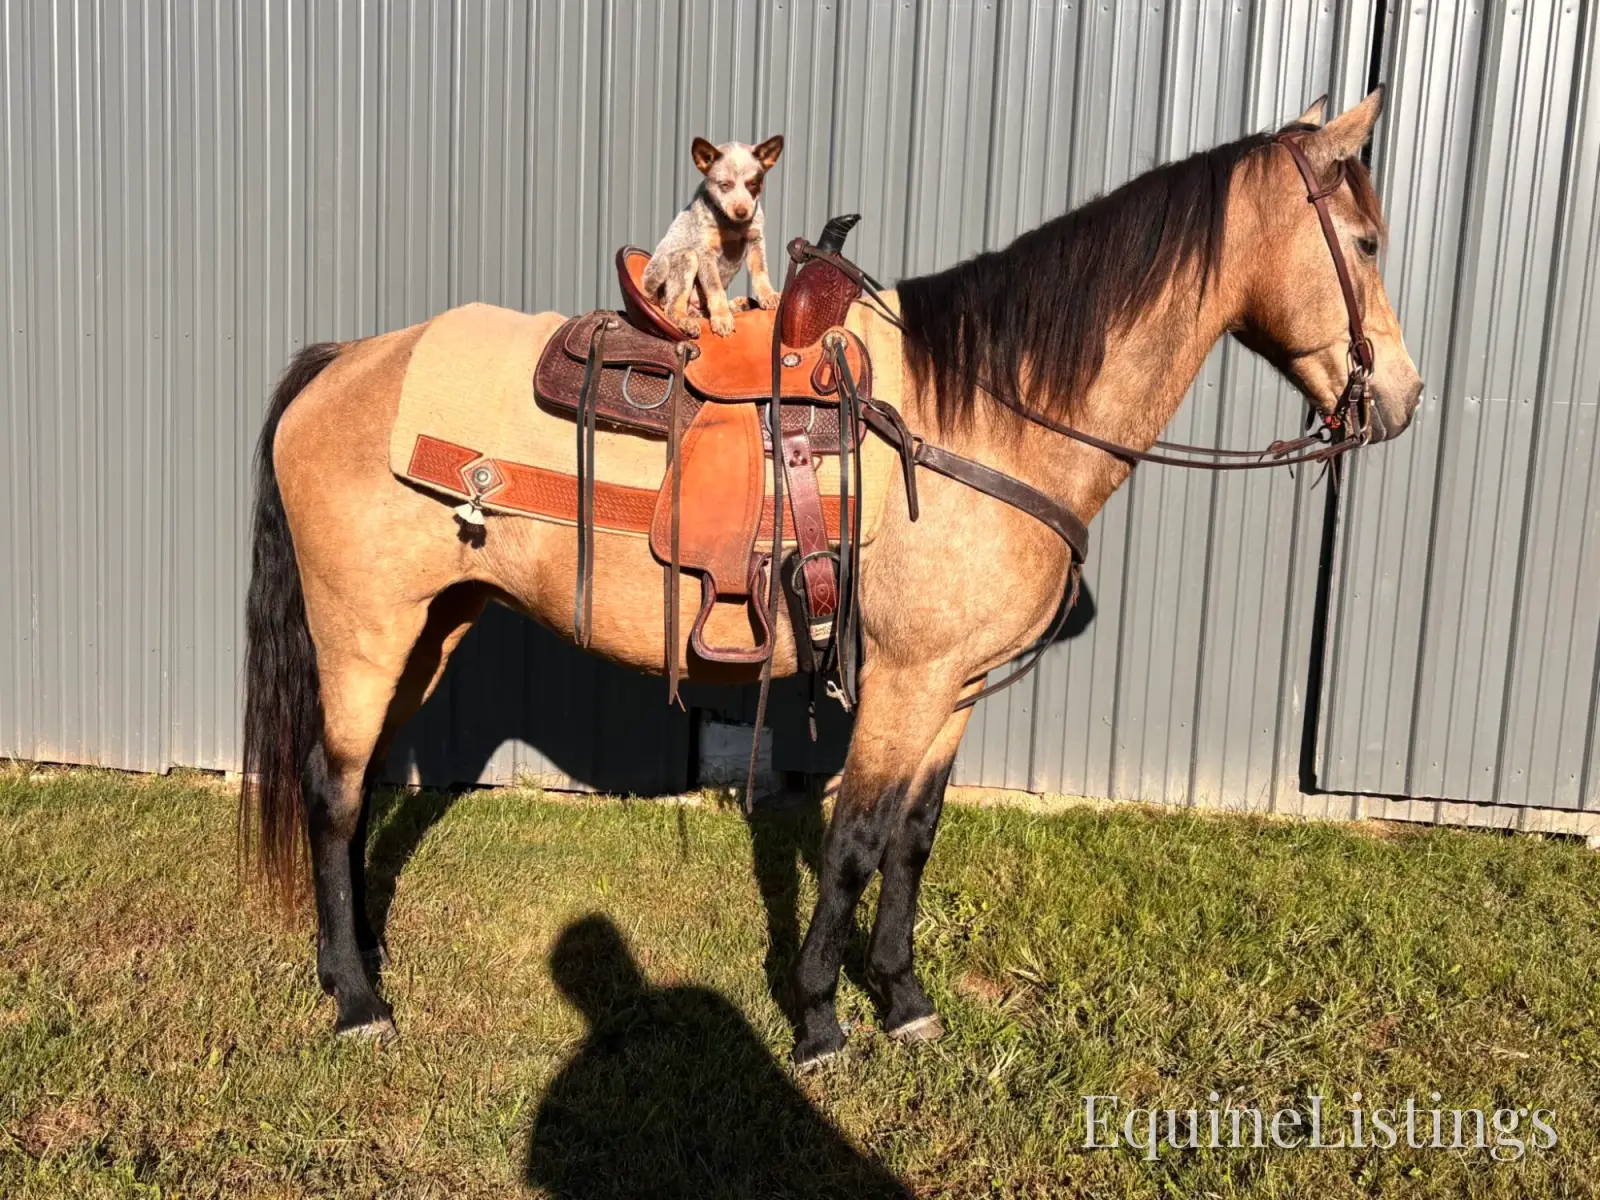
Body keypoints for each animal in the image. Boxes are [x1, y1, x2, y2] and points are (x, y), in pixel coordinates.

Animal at [240, 89, 1421, 1067]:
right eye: (1364, 239)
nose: (1403, 400)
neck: (978, 415)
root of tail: (343, 361)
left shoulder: (952, 687)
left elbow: (912, 840)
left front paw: (902, 998)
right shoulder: (900, 680)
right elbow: (852, 842)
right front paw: (817, 1018)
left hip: (429, 631)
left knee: (361, 789)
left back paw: (361, 959)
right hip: (363, 631)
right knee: (334, 794)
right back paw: (357, 1001)